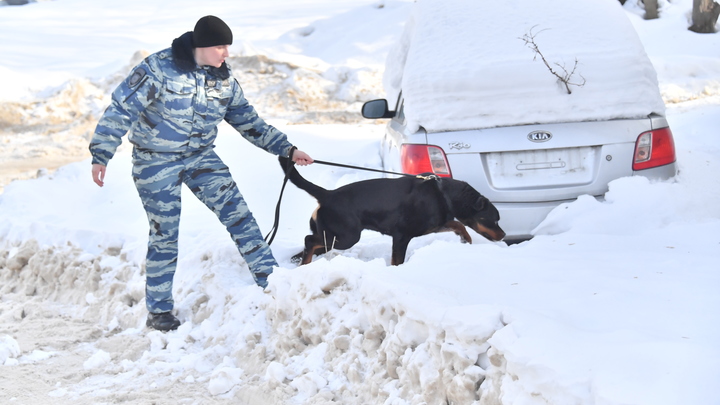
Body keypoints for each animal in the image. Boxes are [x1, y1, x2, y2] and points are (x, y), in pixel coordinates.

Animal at [278, 157, 504, 266]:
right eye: (494, 219)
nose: (503, 235)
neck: (444, 194)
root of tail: (327, 194)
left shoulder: (434, 225)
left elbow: (457, 224)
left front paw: (466, 239)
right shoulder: (402, 236)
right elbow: (397, 261)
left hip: (331, 235)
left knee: (311, 244)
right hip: (346, 236)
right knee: (309, 240)